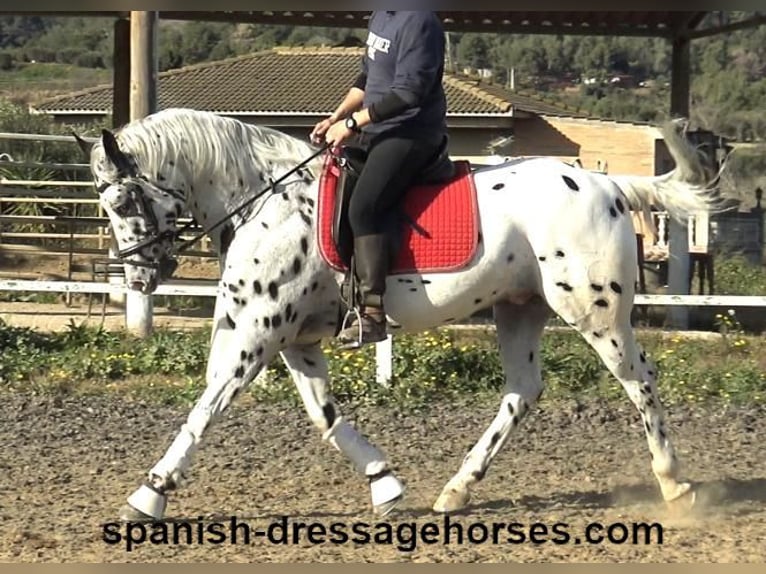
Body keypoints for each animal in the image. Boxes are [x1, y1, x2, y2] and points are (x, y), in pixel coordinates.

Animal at [82, 108, 728, 520]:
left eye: (123, 200)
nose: (136, 279)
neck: (267, 200)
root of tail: (608, 186)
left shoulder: (254, 337)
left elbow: (205, 408)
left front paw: (149, 496)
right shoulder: (295, 342)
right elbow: (326, 418)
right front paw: (386, 486)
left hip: (594, 311)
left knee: (640, 382)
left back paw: (675, 484)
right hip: (519, 309)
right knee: (523, 391)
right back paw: (457, 490)